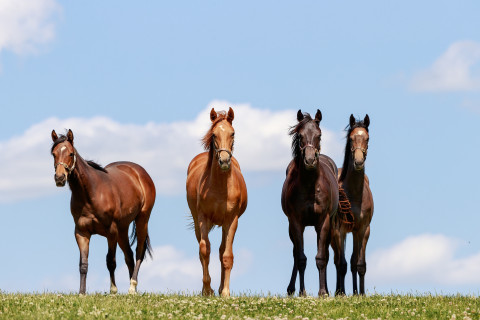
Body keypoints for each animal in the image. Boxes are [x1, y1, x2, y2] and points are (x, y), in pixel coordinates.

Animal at [50, 130, 156, 296]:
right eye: (53, 154)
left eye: (71, 154)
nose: (60, 178)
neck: (91, 193)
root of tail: (140, 173)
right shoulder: (82, 233)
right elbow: (83, 264)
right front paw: (82, 293)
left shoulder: (111, 231)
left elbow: (110, 261)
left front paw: (113, 290)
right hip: (122, 229)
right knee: (129, 255)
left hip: (142, 220)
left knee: (139, 251)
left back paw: (132, 287)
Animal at [186, 108, 248, 298]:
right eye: (214, 135)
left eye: (233, 133)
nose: (224, 161)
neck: (220, 187)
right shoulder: (203, 218)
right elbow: (205, 250)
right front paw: (207, 290)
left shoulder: (231, 220)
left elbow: (227, 255)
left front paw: (226, 292)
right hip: (197, 223)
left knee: (221, 251)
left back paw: (221, 288)